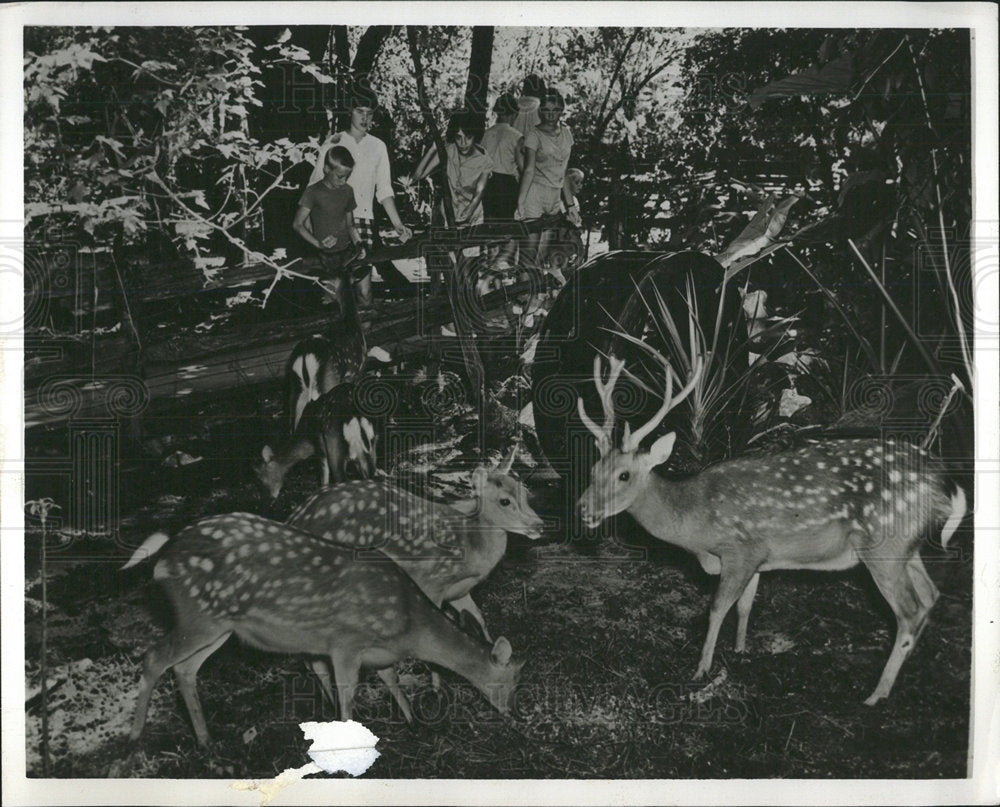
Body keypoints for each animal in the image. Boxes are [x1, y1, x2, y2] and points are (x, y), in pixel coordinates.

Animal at [123, 516, 524, 740]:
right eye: (512, 681)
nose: (513, 714)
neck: (409, 624)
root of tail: (163, 558)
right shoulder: (345, 642)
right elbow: (346, 696)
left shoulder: (376, 652)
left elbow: (391, 677)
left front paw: (412, 721)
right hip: (200, 615)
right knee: (154, 657)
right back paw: (135, 736)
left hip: (219, 626)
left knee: (183, 668)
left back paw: (206, 741)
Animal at [576, 348, 964, 708]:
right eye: (593, 469)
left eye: (624, 475)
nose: (582, 509)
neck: (695, 522)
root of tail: (944, 484)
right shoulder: (760, 556)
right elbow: (746, 605)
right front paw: (740, 651)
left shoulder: (741, 549)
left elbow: (717, 608)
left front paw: (700, 670)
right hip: (907, 548)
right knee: (930, 596)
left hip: (884, 545)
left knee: (909, 611)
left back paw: (876, 694)